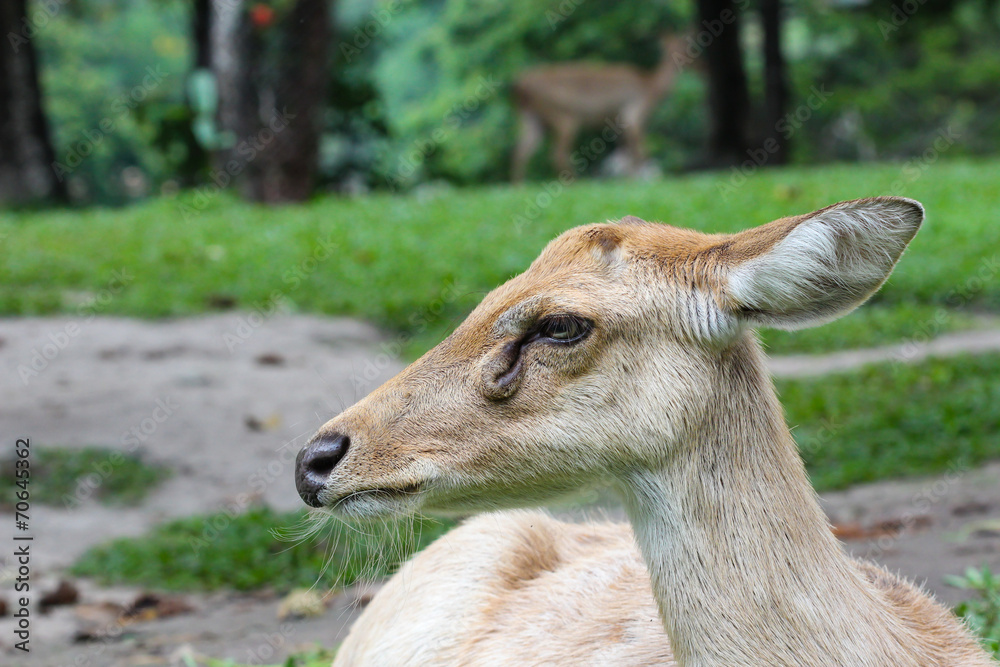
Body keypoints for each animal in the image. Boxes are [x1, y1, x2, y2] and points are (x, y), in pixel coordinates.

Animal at [510, 34, 689, 183]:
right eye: (684, 46)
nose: (688, 59)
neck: (651, 87)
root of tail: (520, 85)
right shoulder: (633, 111)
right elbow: (639, 150)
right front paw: (636, 181)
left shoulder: (620, 120)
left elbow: (627, 151)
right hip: (564, 117)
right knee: (555, 153)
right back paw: (575, 183)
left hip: (532, 117)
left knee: (521, 151)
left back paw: (519, 186)